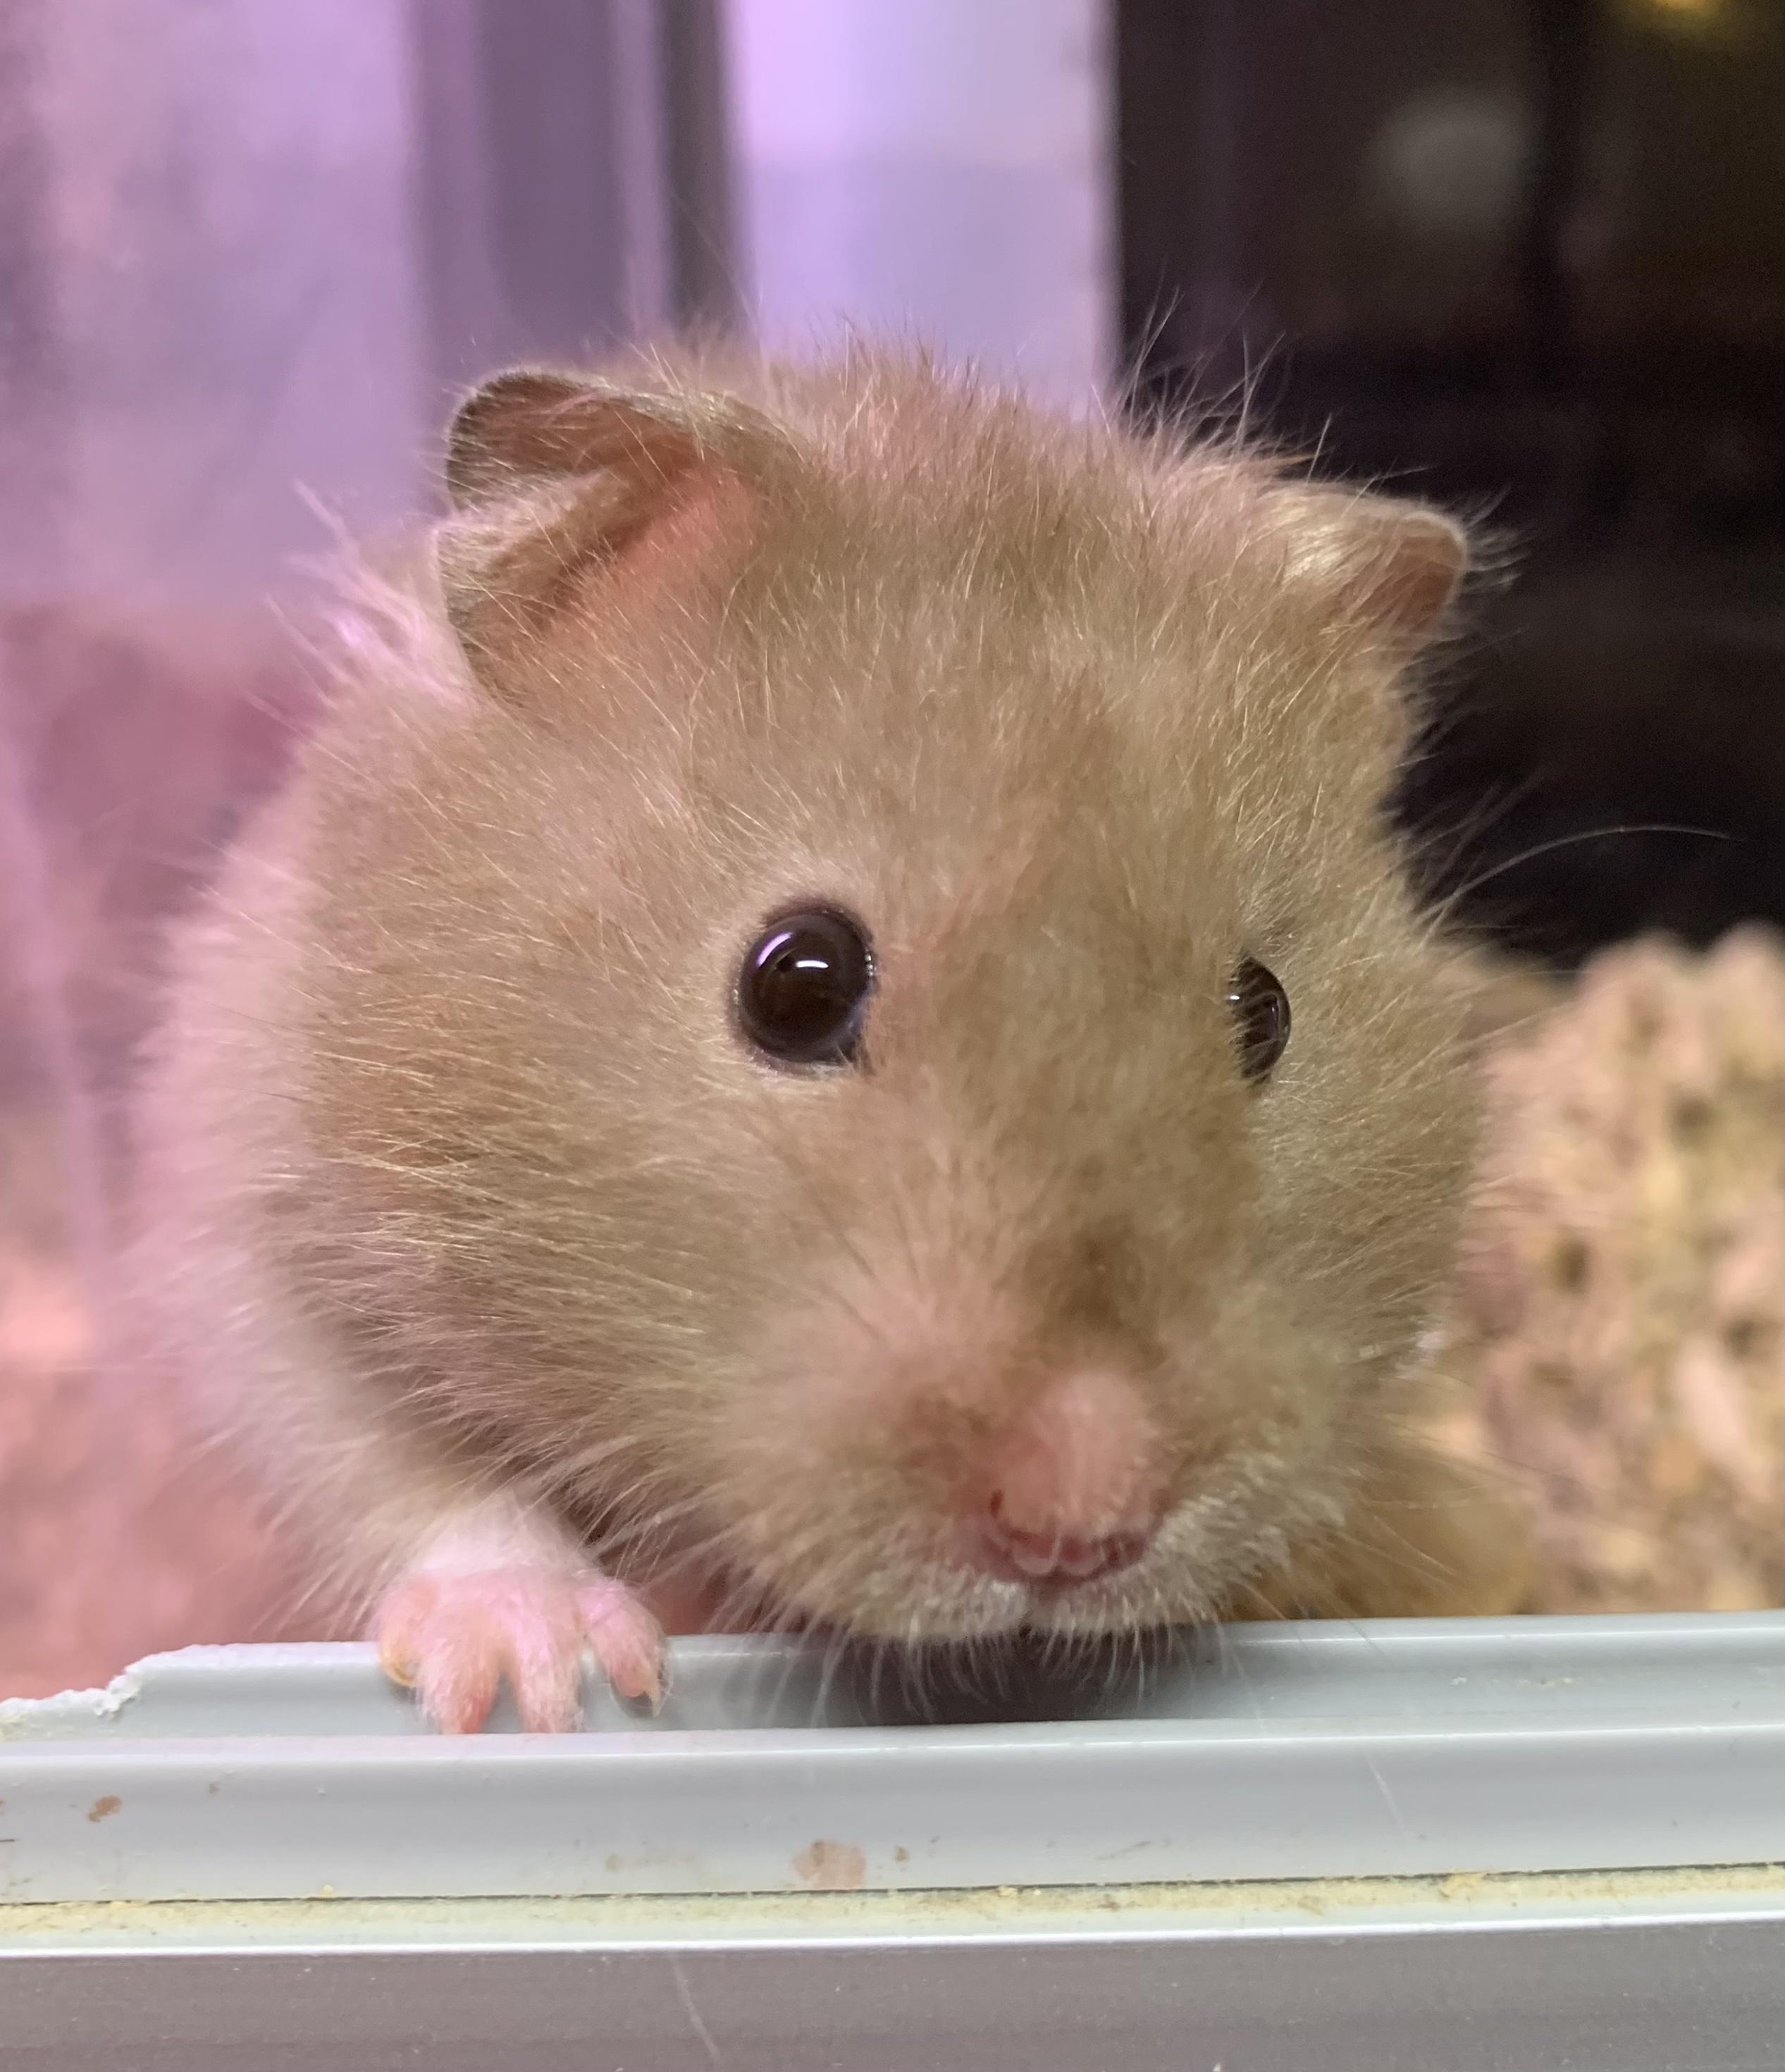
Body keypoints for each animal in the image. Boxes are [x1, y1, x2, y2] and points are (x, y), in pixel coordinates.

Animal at [132, 347, 1526, 1734]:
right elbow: (390, 1460)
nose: (1076, 1528)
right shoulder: (250, 1207)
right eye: (794, 982)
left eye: (1265, 1008)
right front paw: (559, 1681)